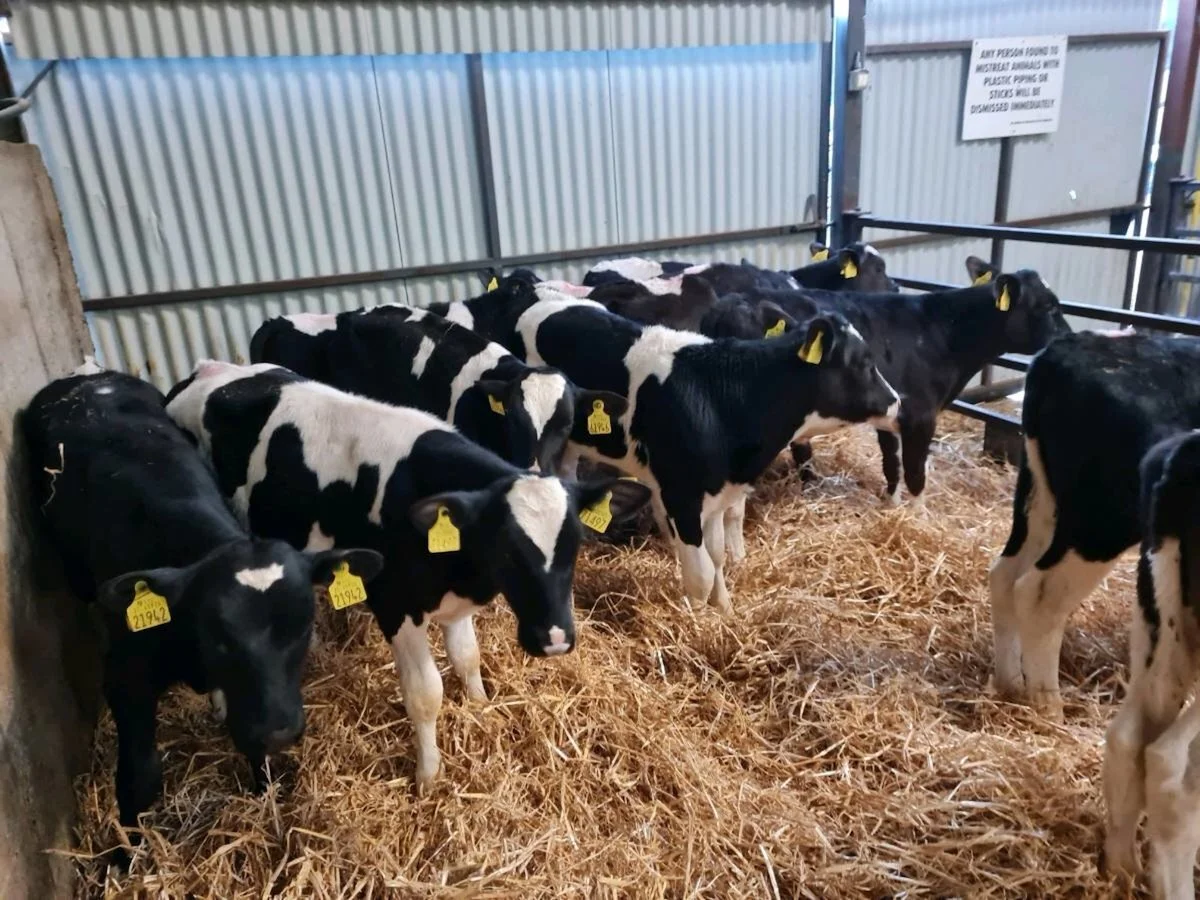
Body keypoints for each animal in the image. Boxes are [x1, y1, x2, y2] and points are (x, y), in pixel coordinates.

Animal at [22, 365, 383, 841]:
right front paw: (127, 849)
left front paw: (263, 790)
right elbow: (139, 776)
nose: (280, 731)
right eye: (219, 635)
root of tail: (88, 376)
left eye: (304, 626)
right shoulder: (125, 679)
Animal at [165, 361, 650, 791]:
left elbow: (467, 657)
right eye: (507, 550)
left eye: (576, 544)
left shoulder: (456, 600)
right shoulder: (395, 604)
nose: (555, 639)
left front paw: (480, 706)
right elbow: (425, 693)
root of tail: (207, 370)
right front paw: (428, 775)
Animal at [451, 281, 899, 612]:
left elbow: (716, 557)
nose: (896, 402)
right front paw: (698, 621)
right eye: (863, 363)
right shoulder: (682, 496)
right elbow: (699, 573)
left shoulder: (718, 494)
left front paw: (726, 610)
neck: (721, 397)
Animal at [748, 267, 1069, 503]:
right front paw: (917, 517)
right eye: (1048, 306)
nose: (1068, 338)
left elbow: (892, 465)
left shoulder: (890, 412)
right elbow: (915, 474)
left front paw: (891, 505)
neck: (941, 333)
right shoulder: (920, 415)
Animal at [989, 331, 1200, 721]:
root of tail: (1069, 346)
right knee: (1038, 594)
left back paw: (1009, 684)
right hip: (1101, 522)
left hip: (1039, 500)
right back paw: (1049, 709)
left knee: (1005, 575)